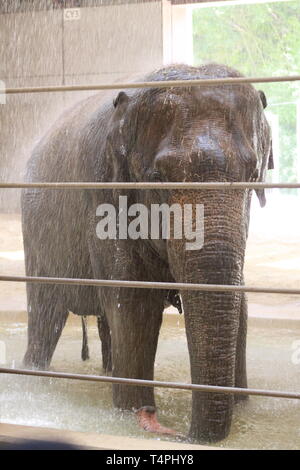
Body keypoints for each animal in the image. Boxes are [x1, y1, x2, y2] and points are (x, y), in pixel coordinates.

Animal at [21, 64, 272, 442]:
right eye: (158, 178)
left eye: (252, 174)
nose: (179, 434)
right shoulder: (104, 194)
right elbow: (134, 305)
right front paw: (130, 413)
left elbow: (240, 305)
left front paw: (242, 406)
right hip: (36, 236)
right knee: (45, 316)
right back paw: (33, 379)